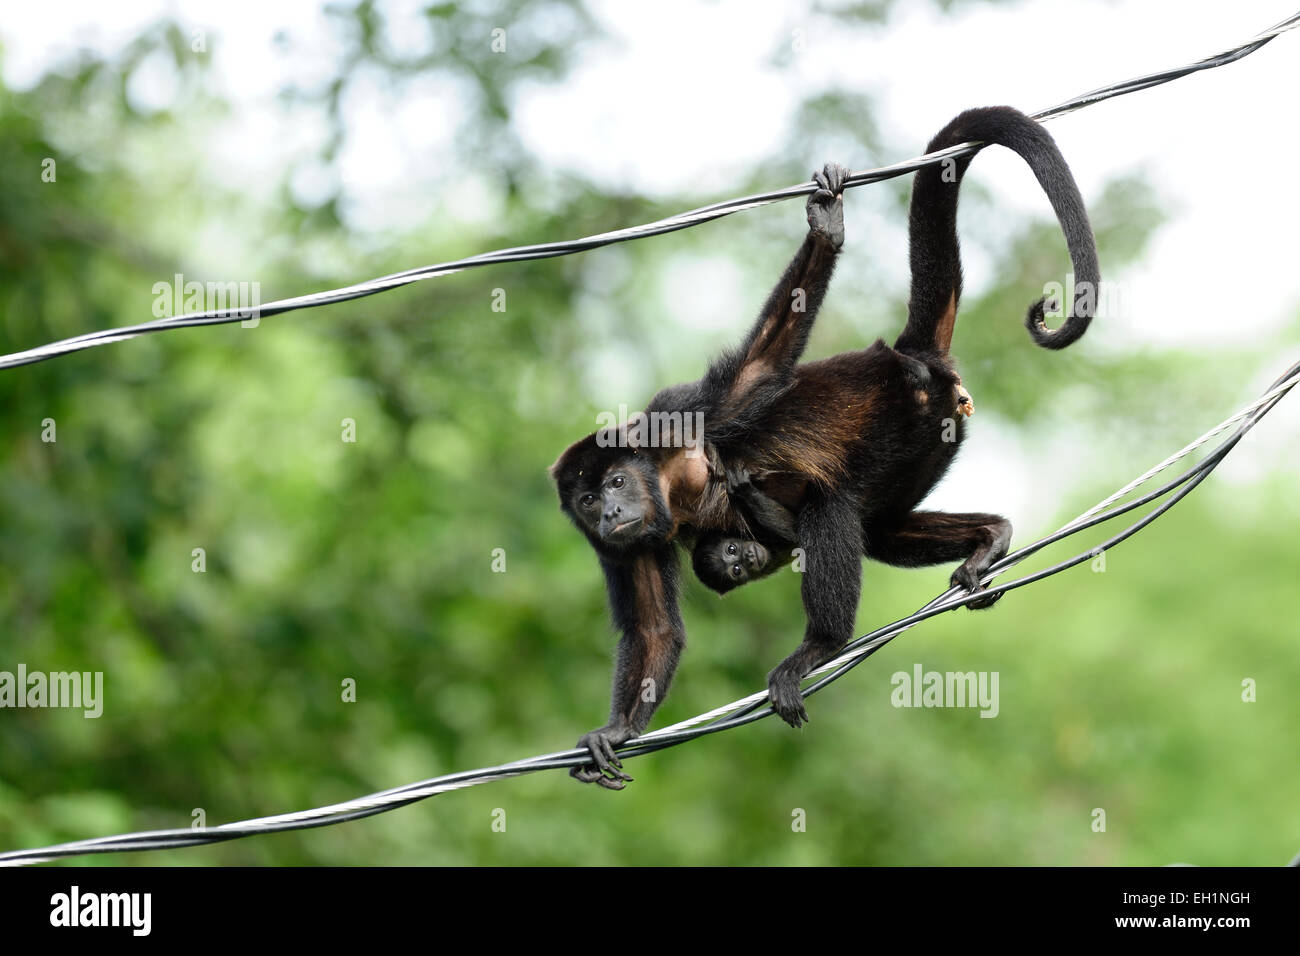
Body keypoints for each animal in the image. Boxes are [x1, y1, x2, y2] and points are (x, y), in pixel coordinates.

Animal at [548, 108, 1097, 790]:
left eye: (616, 483)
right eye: (588, 501)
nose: (610, 510)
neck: (670, 487)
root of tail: (908, 358)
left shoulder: (674, 419)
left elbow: (761, 371)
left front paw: (827, 229)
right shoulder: (620, 542)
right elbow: (654, 629)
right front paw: (617, 730)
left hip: (907, 416)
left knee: (832, 504)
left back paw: (821, 645)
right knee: (878, 528)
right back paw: (990, 537)